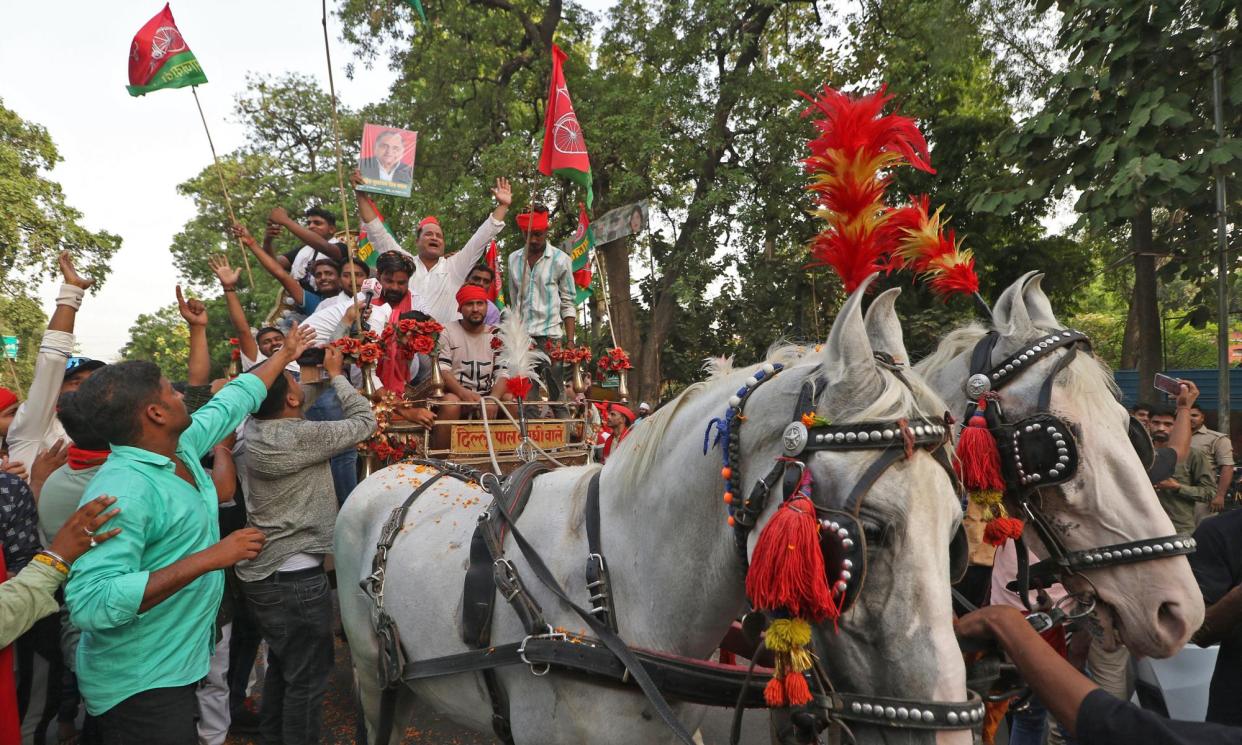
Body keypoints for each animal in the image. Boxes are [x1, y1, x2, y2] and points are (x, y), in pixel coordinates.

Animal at [337, 279, 968, 745]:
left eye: (956, 533)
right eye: (869, 532)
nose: (950, 731)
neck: (614, 585)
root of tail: (397, 468)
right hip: (371, 677)